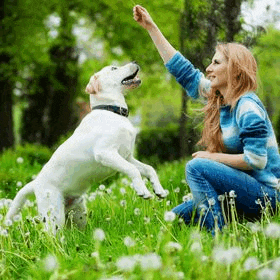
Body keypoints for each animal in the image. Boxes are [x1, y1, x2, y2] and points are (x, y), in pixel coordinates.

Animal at [5, 61, 167, 234]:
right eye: (114, 68)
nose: (135, 62)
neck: (112, 111)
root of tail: (36, 183)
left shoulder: (127, 156)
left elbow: (149, 168)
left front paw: (159, 189)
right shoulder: (106, 153)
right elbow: (133, 170)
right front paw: (142, 190)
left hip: (78, 214)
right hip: (54, 215)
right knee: (48, 235)